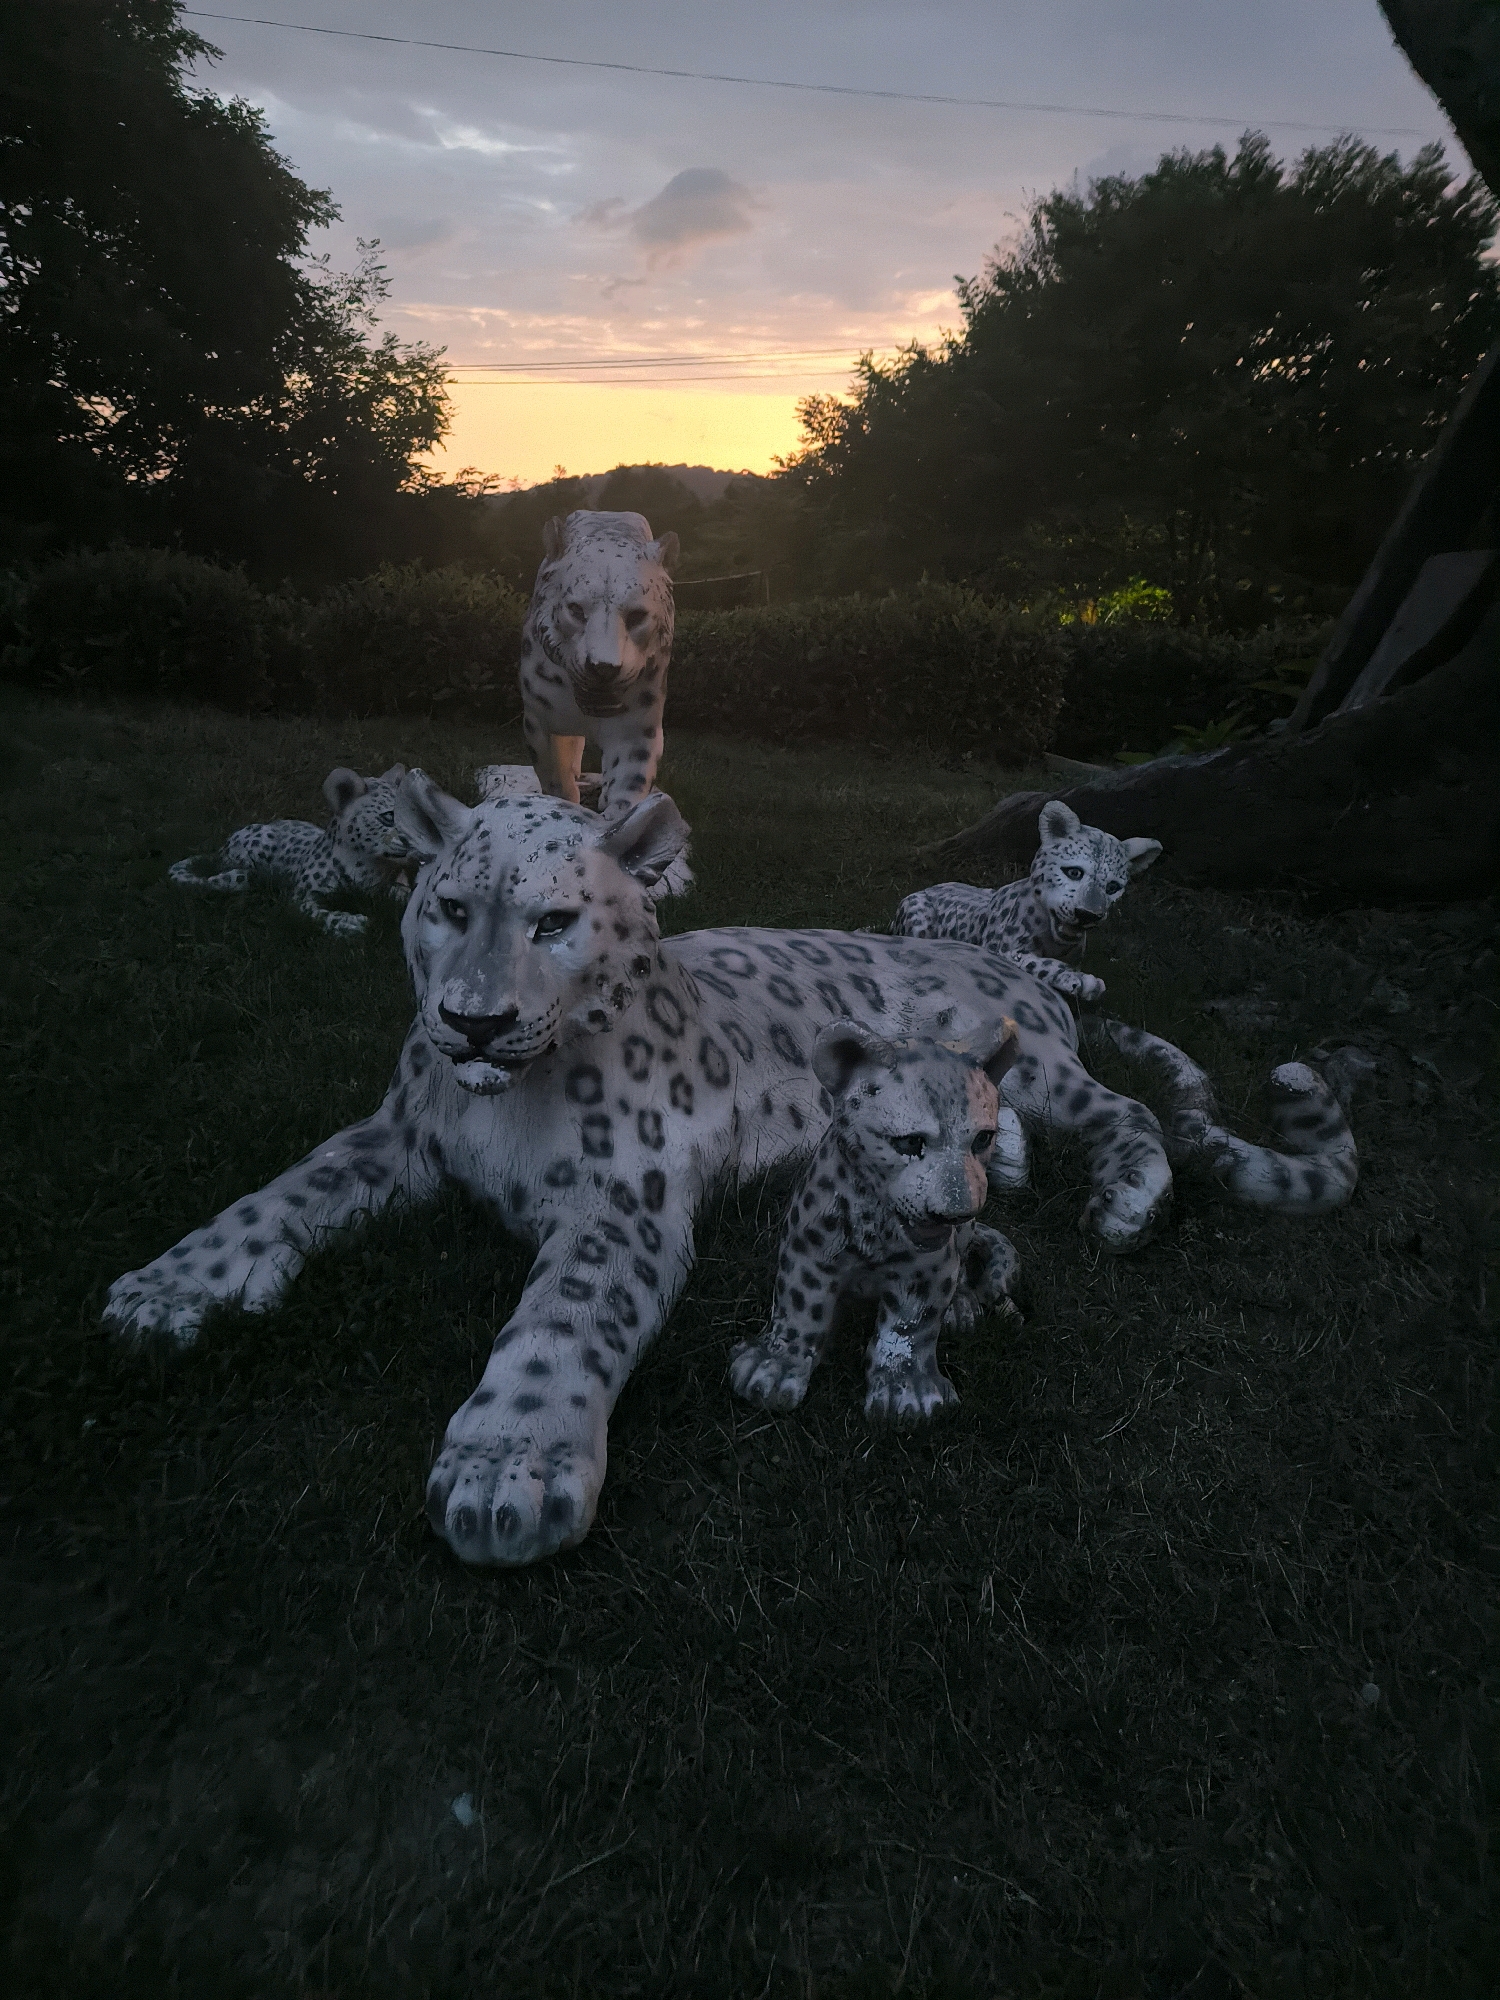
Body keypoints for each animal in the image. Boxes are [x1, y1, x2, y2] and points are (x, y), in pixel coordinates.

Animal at [168, 765, 419, 937]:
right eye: (389, 816)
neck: (372, 867)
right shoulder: (300, 898)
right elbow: (317, 913)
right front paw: (349, 923)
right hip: (260, 843)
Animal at [517, 510, 679, 813]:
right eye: (576, 609)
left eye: (637, 616)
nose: (603, 667)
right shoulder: (540, 721)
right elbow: (556, 777)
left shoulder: (637, 728)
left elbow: (630, 782)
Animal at [729, 1017, 1025, 1428]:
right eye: (910, 1142)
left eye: (982, 1139)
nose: (956, 1212)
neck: (877, 1225)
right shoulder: (809, 1246)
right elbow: (799, 1306)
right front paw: (770, 1370)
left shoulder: (927, 1267)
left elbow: (910, 1323)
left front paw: (909, 1395)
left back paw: (962, 1309)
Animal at [893, 800, 1163, 1004]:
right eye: (1074, 872)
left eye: (1113, 888)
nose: (1087, 914)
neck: (1055, 941)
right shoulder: (998, 950)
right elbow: (1035, 961)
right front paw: (1081, 981)